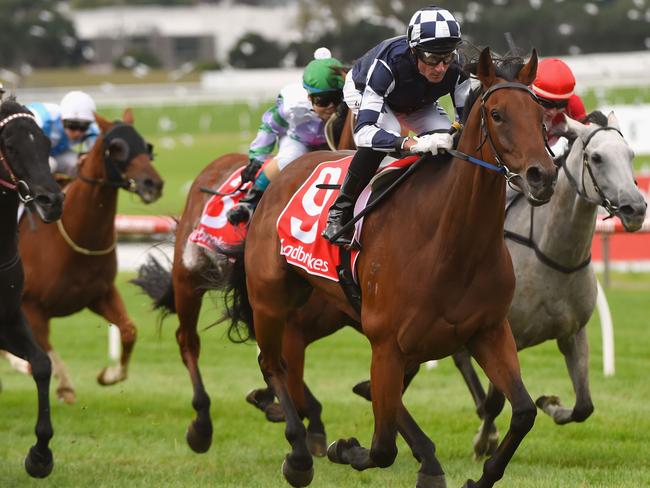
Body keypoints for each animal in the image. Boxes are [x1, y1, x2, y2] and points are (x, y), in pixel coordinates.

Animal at [19, 110, 165, 404]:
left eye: (146, 146)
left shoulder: (100, 294)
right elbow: (45, 349)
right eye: (116, 147)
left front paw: (109, 374)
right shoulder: (32, 306)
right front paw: (64, 386)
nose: (152, 184)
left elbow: (129, 330)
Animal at [224, 46, 556, 488]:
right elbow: (381, 447)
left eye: (539, 115)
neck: (450, 245)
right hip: (270, 299)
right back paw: (298, 454)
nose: (542, 176)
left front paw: (477, 476)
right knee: (273, 364)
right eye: (498, 114)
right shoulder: (386, 344)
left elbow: (523, 411)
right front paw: (344, 448)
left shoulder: (488, 331)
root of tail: (275, 181)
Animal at [454, 110, 644, 458]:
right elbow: (496, 402)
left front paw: (550, 404)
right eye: (597, 157)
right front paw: (484, 441)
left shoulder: (573, 333)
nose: (635, 208)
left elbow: (584, 406)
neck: (553, 254)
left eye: (630, 154)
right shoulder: (505, 333)